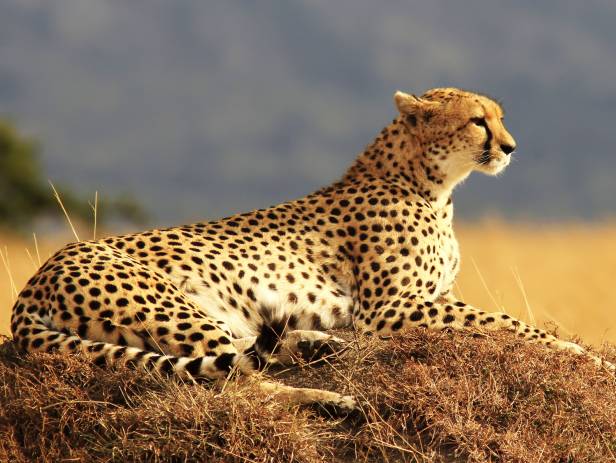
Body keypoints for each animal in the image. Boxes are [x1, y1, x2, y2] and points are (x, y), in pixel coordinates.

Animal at [8, 87, 612, 414]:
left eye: (501, 118)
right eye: (477, 120)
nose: (510, 147)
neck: (431, 184)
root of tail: (34, 280)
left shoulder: (420, 301)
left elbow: (501, 319)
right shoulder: (391, 310)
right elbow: (506, 321)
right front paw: (585, 356)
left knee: (247, 354)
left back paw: (318, 348)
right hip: (173, 307)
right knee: (233, 383)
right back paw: (329, 397)